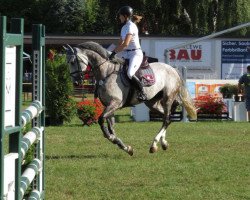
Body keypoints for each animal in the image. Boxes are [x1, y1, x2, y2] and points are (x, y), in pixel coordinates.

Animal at [65, 41, 197, 156]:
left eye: (73, 61)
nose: (76, 83)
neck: (106, 72)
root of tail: (172, 69)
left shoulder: (115, 103)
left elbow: (102, 120)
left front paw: (114, 139)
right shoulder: (109, 106)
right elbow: (111, 128)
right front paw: (126, 148)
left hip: (168, 97)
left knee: (166, 118)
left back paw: (154, 145)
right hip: (152, 102)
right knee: (168, 117)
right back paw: (163, 143)